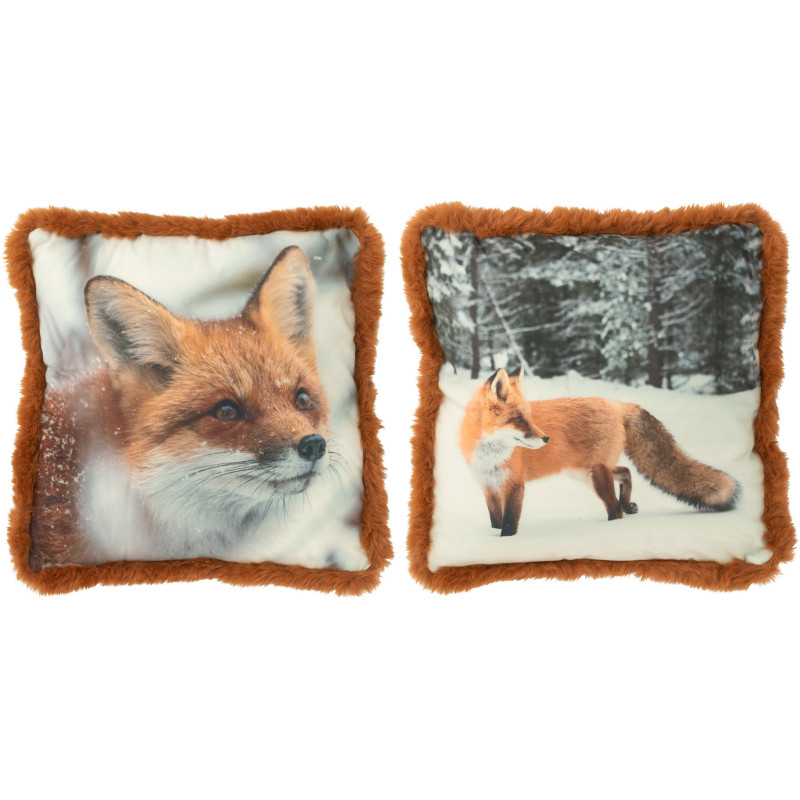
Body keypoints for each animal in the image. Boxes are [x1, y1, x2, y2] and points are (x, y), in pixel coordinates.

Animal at [459, 366, 740, 537]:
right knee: (626, 472)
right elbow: (495, 521)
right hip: (584, 472)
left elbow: (508, 524)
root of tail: (617, 404)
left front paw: (506, 544)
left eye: (529, 417)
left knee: (614, 507)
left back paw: (609, 527)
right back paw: (628, 504)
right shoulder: (488, 486)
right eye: (518, 419)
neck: (489, 456)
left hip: (594, 474)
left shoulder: (514, 485)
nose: (546, 438)